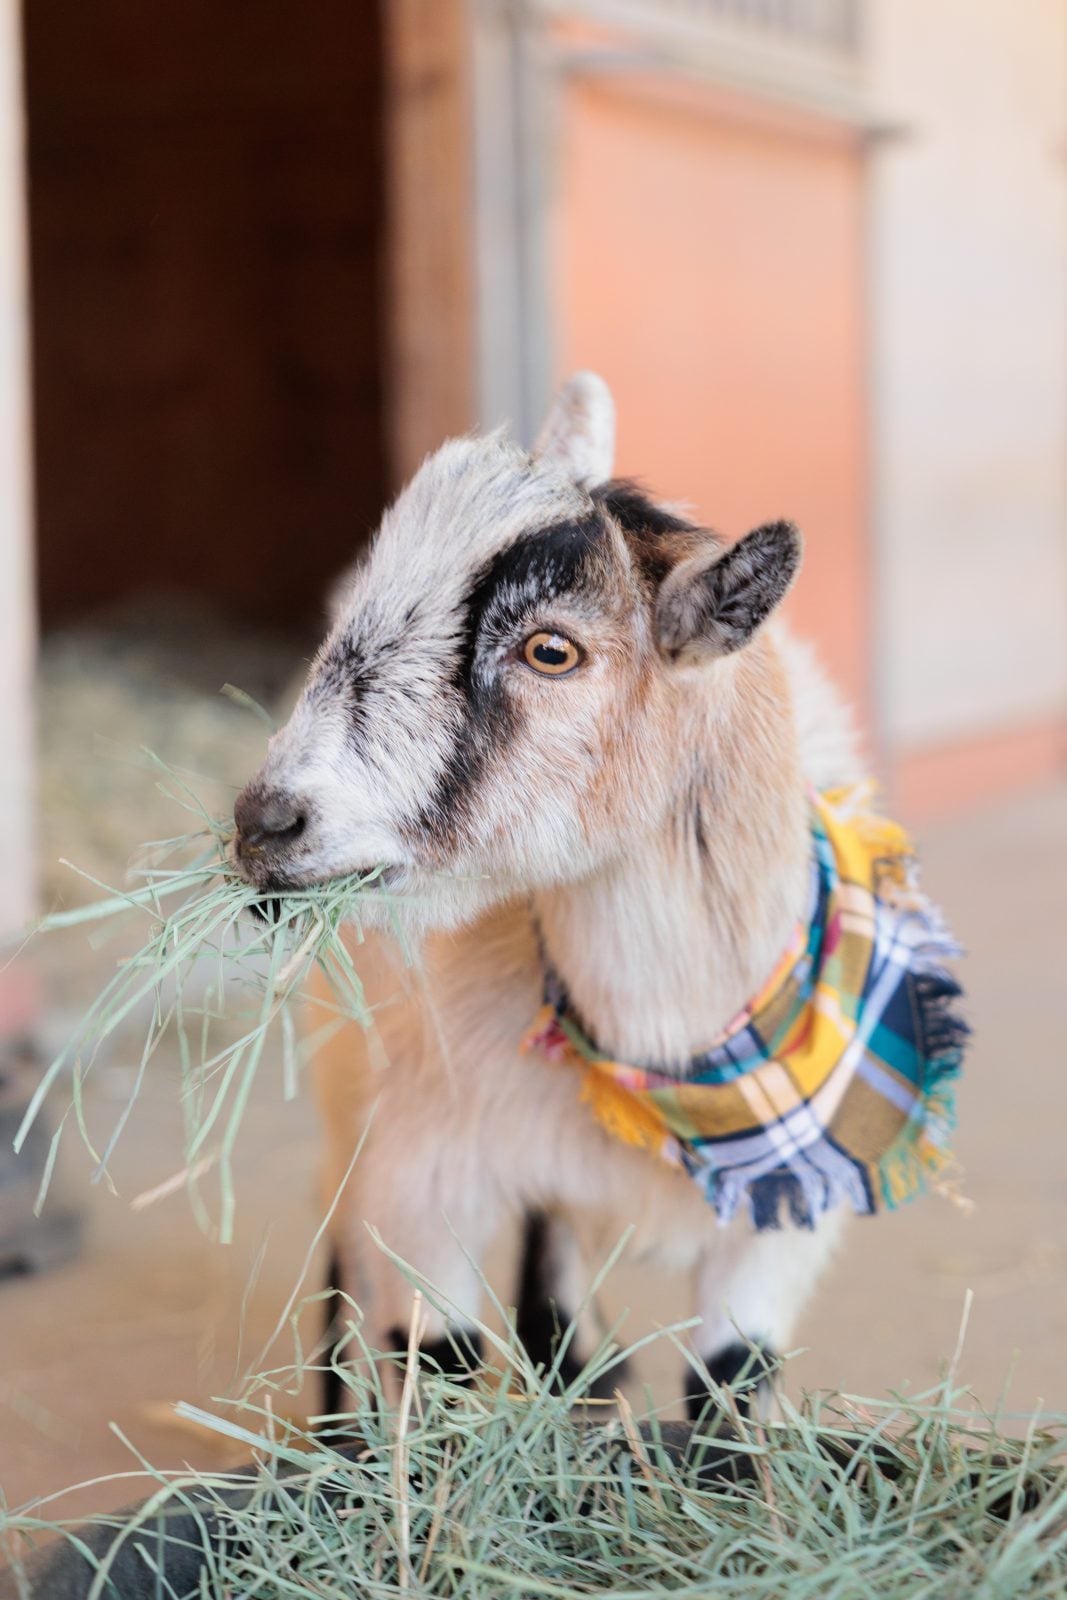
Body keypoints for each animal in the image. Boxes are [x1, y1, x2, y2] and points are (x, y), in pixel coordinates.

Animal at [232, 373, 962, 1417]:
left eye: (551, 651)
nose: (265, 822)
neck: (667, 1066)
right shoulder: (426, 1175)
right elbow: (438, 1360)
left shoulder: (775, 1236)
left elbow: (728, 1390)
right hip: (344, 1064)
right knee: (342, 1237)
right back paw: (341, 1433)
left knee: (553, 1239)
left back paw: (577, 1372)